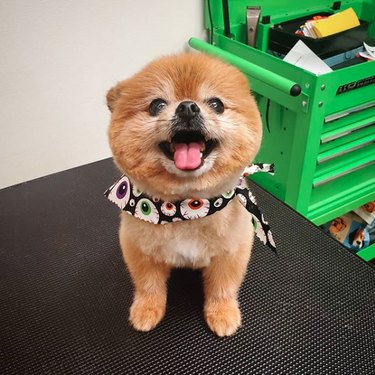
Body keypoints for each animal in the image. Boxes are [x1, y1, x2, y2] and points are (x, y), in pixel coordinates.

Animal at [106, 53, 262, 338]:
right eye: (156, 104)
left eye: (216, 104)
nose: (188, 107)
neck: (187, 206)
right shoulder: (139, 250)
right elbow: (148, 286)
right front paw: (146, 311)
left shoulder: (231, 252)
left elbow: (222, 288)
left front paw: (222, 314)